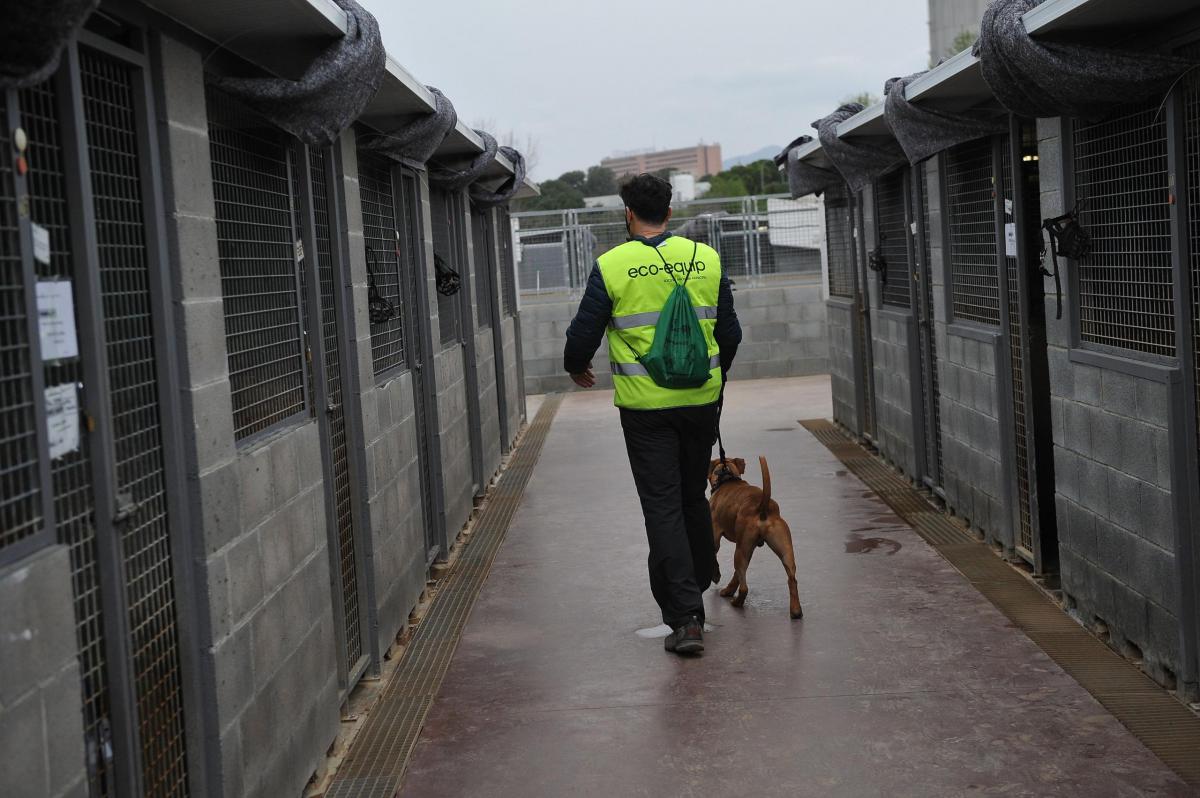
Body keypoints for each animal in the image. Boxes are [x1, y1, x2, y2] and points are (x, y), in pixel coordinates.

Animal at [705, 453, 801, 614]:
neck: (727, 477)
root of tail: (762, 507)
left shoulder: (714, 538)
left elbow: (713, 558)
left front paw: (715, 575)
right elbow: (737, 574)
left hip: (740, 551)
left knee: (744, 588)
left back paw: (736, 602)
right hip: (780, 550)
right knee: (791, 578)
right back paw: (796, 610)